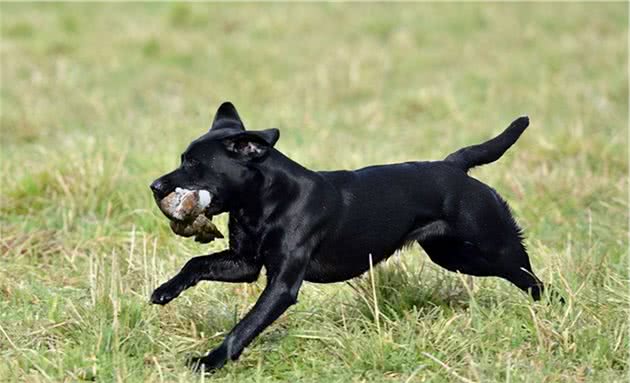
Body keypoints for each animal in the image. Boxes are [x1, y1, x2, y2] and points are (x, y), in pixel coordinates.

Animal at [152, 102, 548, 372]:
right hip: (453, 257)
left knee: (530, 276)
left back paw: (551, 306)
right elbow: (196, 263)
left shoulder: (282, 285)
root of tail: (454, 165)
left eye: (193, 164)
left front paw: (210, 361)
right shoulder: (245, 263)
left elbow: (245, 326)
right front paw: (166, 291)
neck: (265, 200)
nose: (155, 185)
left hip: (494, 247)